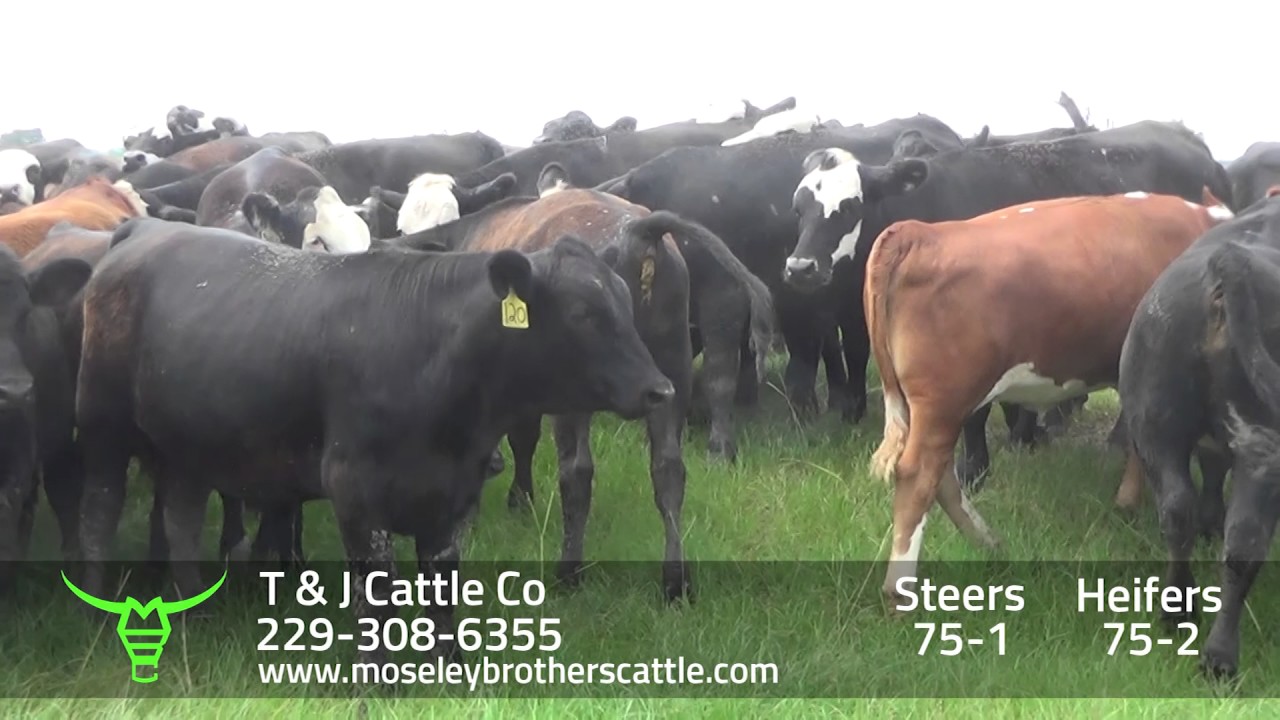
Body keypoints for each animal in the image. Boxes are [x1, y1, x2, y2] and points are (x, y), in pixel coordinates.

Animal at [73, 217, 674, 662]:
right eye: (583, 313)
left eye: (625, 302)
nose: (661, 389)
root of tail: (144, 229)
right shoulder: (356, 494)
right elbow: (378, 594)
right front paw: (379, 680)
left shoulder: (454, 495)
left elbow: (442, 589)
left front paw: (449, 670)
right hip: (102, 427)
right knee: (98, 511)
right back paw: (97, 616)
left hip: (188, 449)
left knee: (181, 519)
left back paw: (192, 611)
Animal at [785, 121, 1234, 485]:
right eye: (799, 207)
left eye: (849, 206)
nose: (800, 267)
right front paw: (1020, 437)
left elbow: (976, 412)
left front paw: (975, 469)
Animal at [862, 191, 1230, 604]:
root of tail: (918, 232)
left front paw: (1126, 501)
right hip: (943, 402)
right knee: (918, 476)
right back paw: (900, 591)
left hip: (924, 406)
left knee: (941, 478)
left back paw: (988, 542)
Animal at [1117, 192, 1280, 679]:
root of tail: (1231, 259)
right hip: (1262, 444)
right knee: (1245, 542)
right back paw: (1220, 657)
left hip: (1155, 424)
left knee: (1176, 512)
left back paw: (1176, 610)